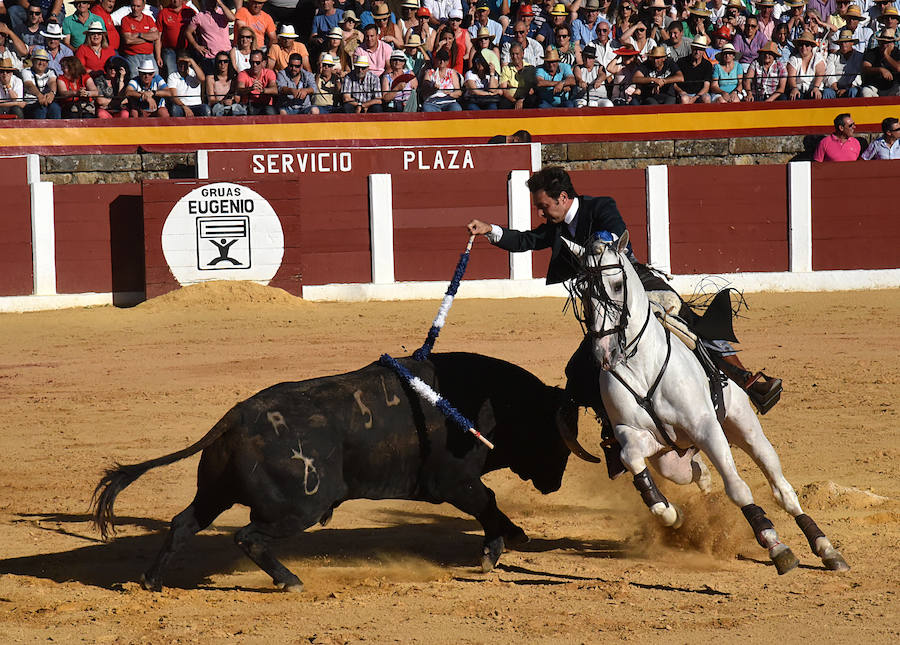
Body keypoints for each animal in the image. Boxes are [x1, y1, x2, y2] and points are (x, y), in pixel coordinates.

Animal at [95, 352, 580, 588]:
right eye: (555, 437)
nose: (555, 484)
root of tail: (236, 416)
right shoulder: (453, 481)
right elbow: (488, 504)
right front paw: (501, 546)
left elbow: (489, 508)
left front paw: (505, 543)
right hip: (299, 508)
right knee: (247, 536)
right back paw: (290, 581)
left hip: (214, 492)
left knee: (183, 524)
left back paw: (151, 581)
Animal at [568, 231, 848, 572]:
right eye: (582, 290)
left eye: (618, 285)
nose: (605, 353)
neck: (641, 365)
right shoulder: (628, 433)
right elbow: (632, 462)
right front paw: (672, 514)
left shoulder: (706, 428)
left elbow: (737, 488)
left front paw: (775, 544)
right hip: (670, 457)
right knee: (695, 472)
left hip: (744, 427)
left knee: (781, 488)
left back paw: (826, 548)